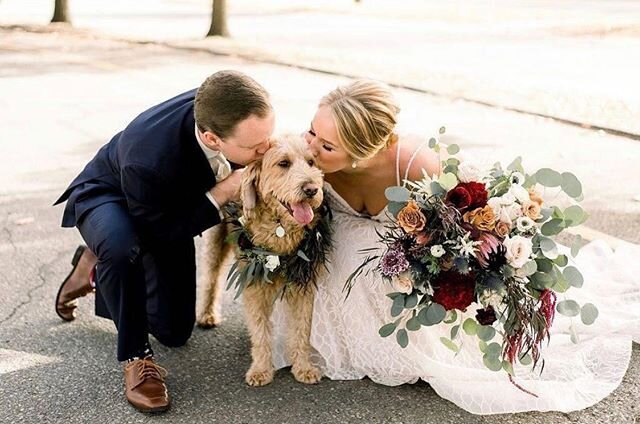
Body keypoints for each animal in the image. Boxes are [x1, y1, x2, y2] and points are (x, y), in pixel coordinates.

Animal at [196, 134, 324, 386]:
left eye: (311, 162)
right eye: (283, 163)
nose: (312, 189)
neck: (280, 228)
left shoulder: (302, 285)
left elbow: (302, 329)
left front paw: (303, 367)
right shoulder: (254, 285)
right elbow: (260, 330)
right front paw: (261, 369)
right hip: (216, 241)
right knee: (211, 277)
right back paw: (207, 314)